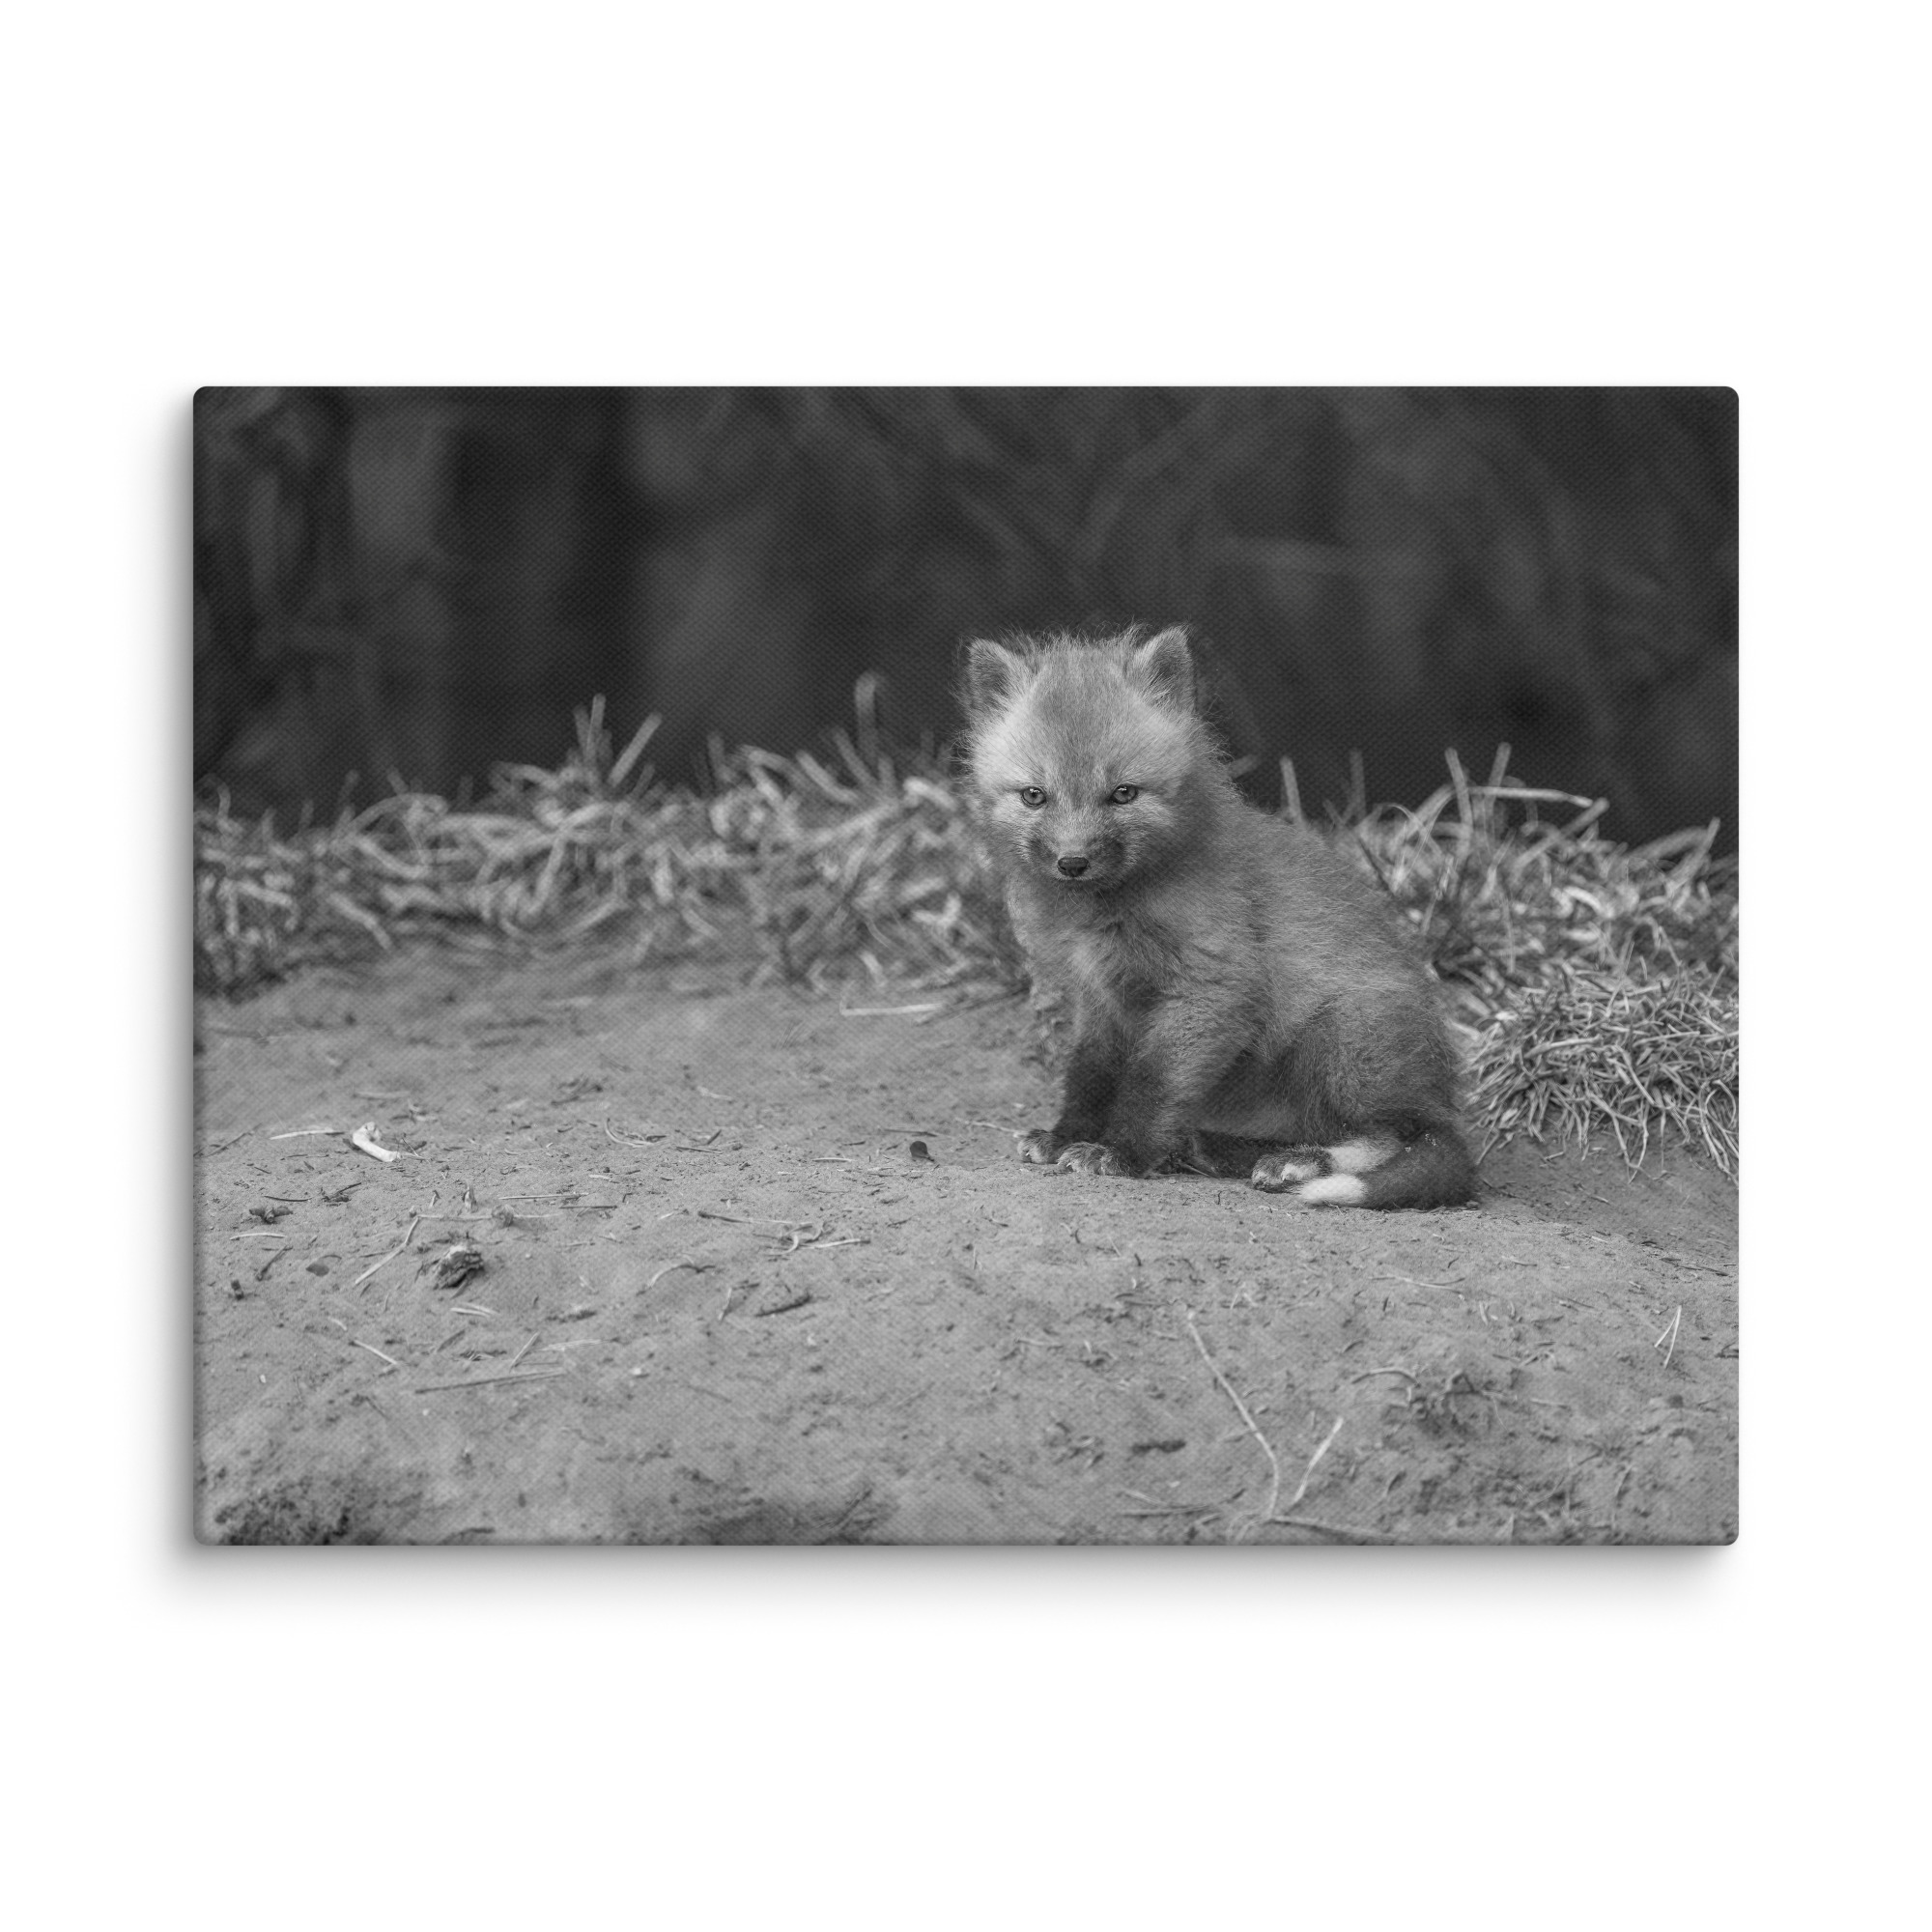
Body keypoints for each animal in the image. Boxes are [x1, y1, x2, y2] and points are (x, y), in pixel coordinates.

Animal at [962, 624, 1477, 1210]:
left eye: (1123, 794)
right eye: (1034, 795)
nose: (1072, 862)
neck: (1111, 913)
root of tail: (1439, 1090)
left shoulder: (1212, 987)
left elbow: (1153, 1082)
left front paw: (1121, 1152)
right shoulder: (1100, 998)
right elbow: (1090, 1075)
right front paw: (1067, 1135)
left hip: (1342, 1039)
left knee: (1406, 1138)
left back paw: (1299, 1163)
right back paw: (1214, 1148)